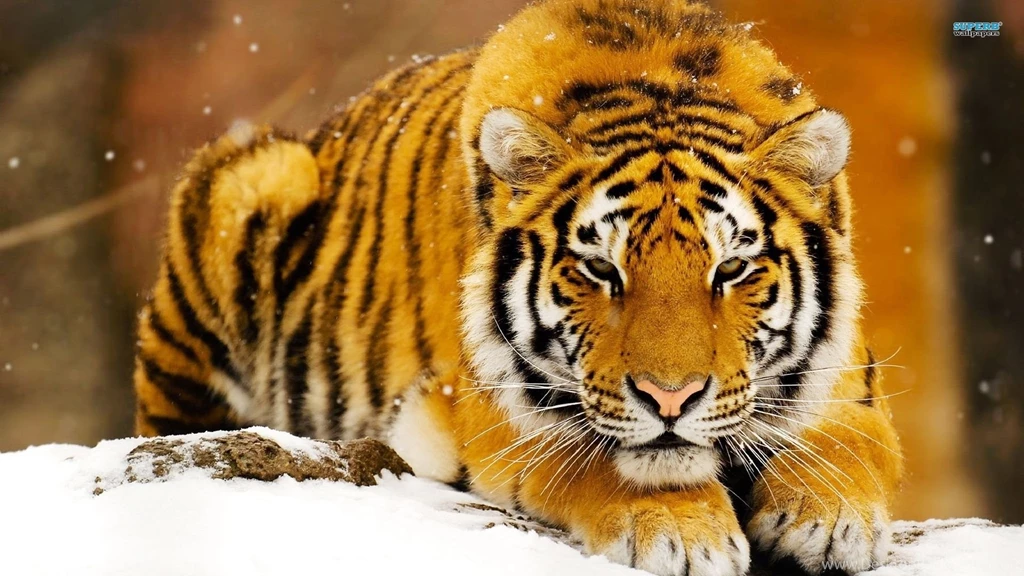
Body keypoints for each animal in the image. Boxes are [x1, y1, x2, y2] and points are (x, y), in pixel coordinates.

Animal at [132, 0, 904, 574]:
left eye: (731, 269)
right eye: (601, 270)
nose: (670, 399)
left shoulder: (849, 382)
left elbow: (849, 445)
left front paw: (829, 520)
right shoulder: (490, 406)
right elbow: (599, 457)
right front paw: (683, 533)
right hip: (252, 182)